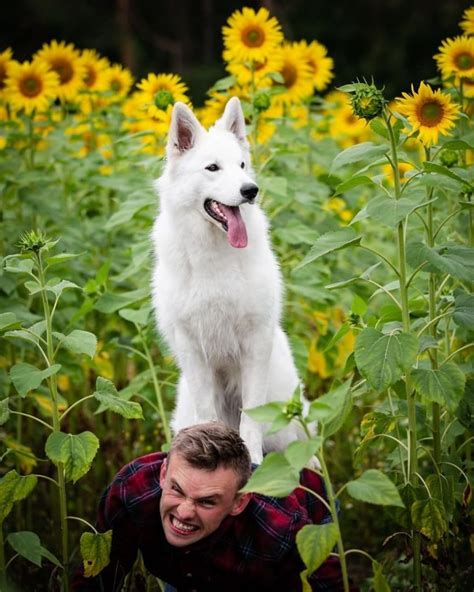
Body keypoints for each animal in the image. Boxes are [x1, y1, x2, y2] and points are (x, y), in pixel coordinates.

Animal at [152, 96, 300, 462]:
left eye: (242, 165)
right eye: (213, 168)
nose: (251, 190)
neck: (215, 256)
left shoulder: (255, 343)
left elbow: (251, 417)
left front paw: (254, 460)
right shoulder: (192, 349)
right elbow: (208, 413)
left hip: (286, 419)